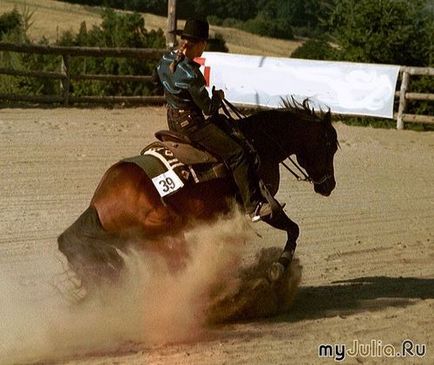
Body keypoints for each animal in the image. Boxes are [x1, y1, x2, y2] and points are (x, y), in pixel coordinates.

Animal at [57, 99, 340, 288]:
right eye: (329, 145)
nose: (329, 186)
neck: (258, 141)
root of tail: (97, 205)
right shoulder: (263, 204)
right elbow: (293, 229)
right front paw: (277, 269)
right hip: (163, 230)